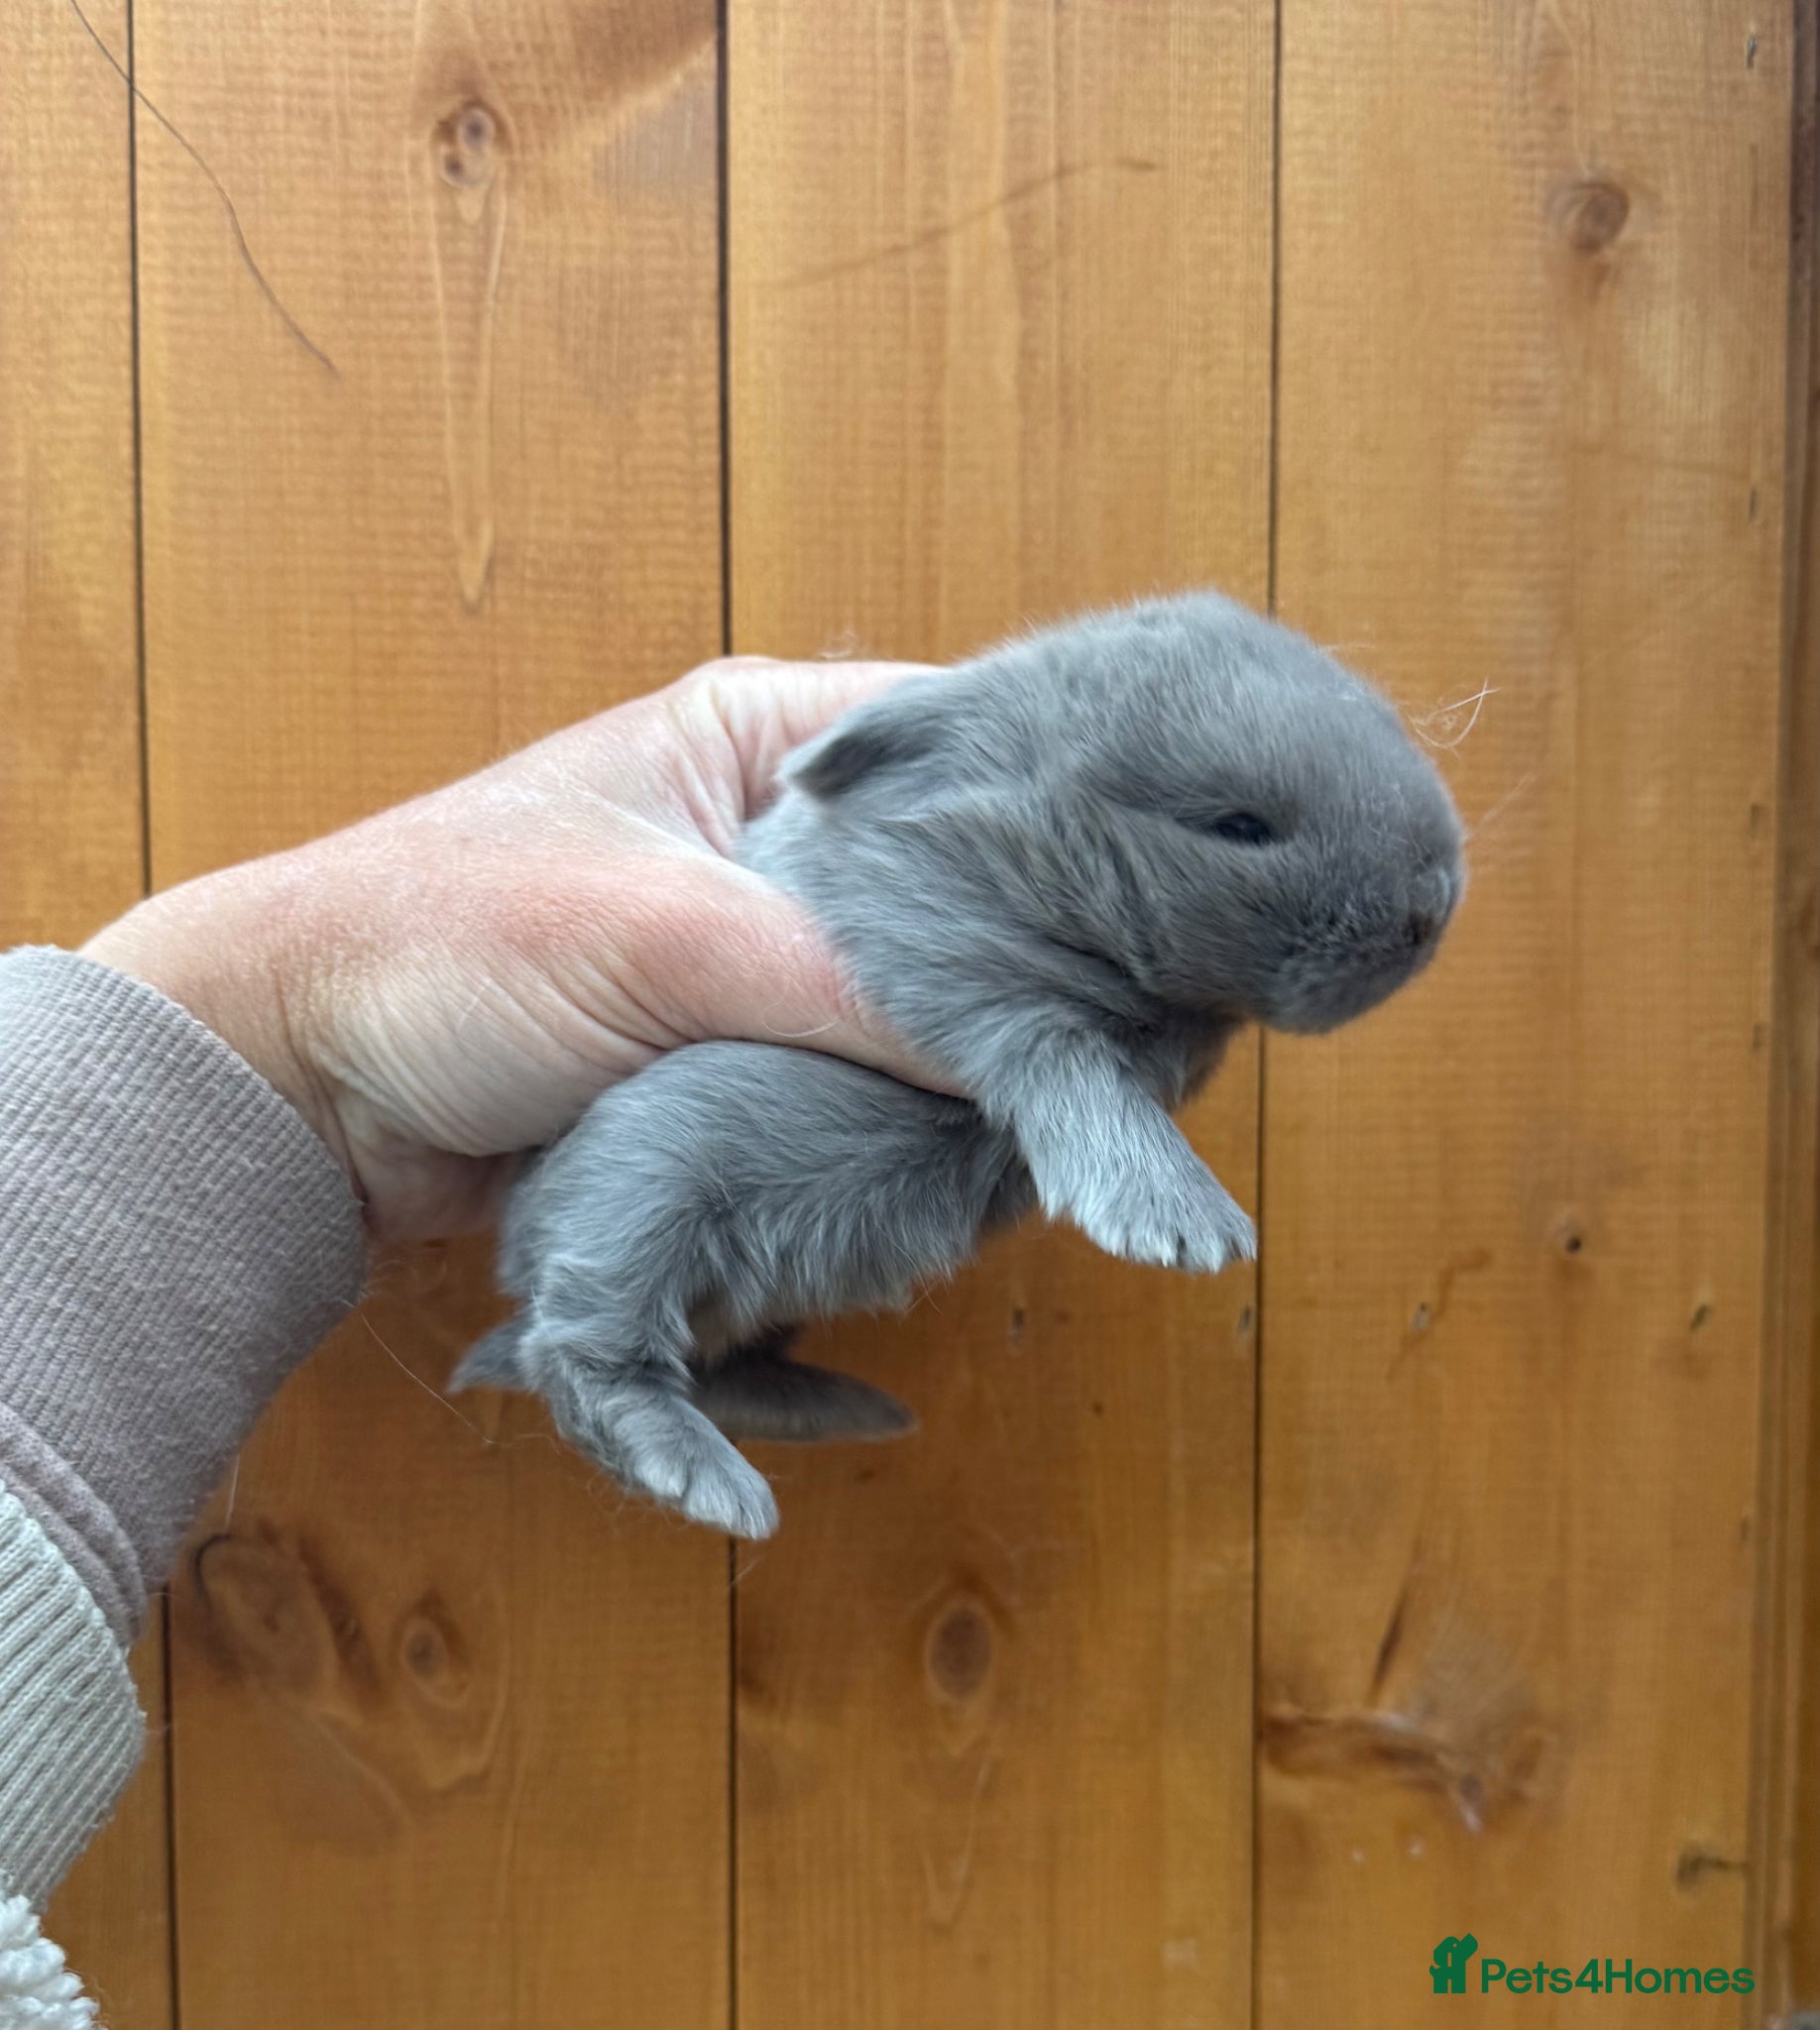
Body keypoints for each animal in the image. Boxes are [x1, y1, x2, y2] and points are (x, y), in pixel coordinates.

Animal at [451, 591, 1466, 1538]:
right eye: (1240, 827)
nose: (1433, 906)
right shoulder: (951, 959)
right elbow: (1071, 1067)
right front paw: (1186, 1226)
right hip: (643, 1190)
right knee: (582, 1352)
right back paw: (713, 1487)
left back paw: (852, 1413)